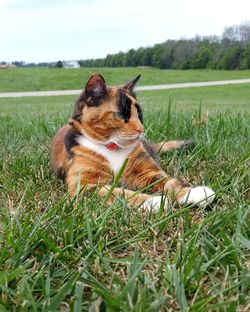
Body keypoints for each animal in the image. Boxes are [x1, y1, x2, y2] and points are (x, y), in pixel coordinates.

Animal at [51, 73, 215, 211]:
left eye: (139, 113)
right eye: (120, 115)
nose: (141, 129)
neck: (112, 148)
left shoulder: (147, 172)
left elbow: (170, 182)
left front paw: (192, 193)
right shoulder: (84, 185)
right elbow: (119, 192)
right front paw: (154, 201)